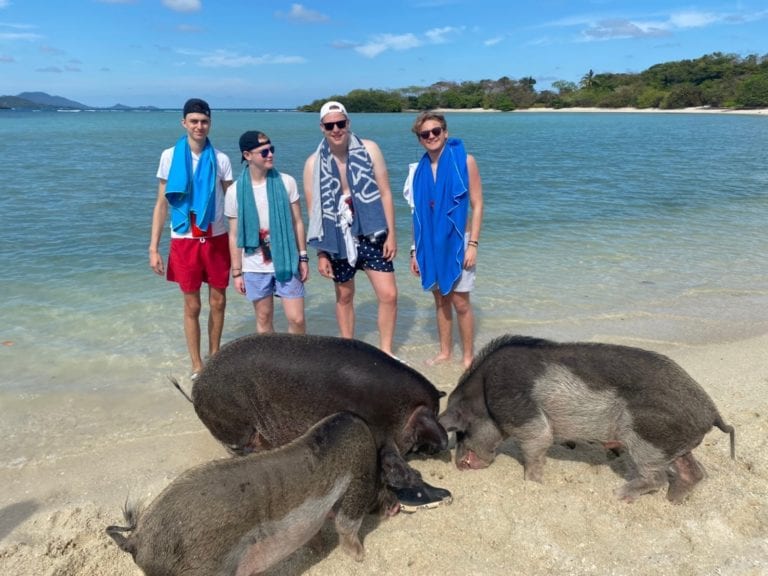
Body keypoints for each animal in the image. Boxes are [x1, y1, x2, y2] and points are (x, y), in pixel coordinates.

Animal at [106, 412, 400, 576]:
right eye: (385, 483)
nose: (396, 507)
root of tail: (137, 540)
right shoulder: (356, 487)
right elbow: (347, 526)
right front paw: (361, 557)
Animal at [188, 333, 451, 507]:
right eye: (432, 414)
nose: (440, 446)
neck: (402, 410)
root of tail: (195, 388)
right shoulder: (381, 433)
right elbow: (398, 467)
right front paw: (444, 494)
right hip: (235, 425)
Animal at [439, 335, 735, 503]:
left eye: (462, 431)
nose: (459, 465)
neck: (484, 395)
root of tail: (711, 412)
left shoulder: (526, 417)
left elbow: (538, 445)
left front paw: (532, 485)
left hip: (644, 436)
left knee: (657, 477)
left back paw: (619, 496)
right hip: (671, 446)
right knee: (694, 472)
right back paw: (674, 502)